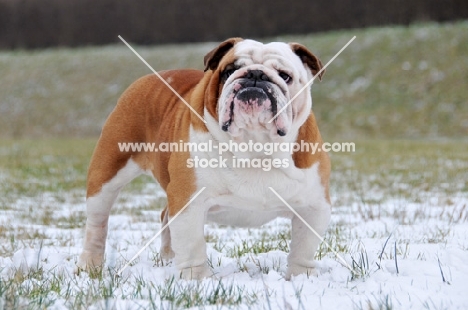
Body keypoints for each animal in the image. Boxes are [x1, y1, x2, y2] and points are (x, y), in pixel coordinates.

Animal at [77, 37, 330, 280]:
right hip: (106, 174)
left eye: (285, 76)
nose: (255, 75)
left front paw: (301, 278)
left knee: (165, 216)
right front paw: (197, 281)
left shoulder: (314, 205)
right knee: (97, 223)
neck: (254, 143)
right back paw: (91, 267)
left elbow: (303, 248)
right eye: (229, 71)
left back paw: (168, 259)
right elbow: (192, 245)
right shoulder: (189, 200)